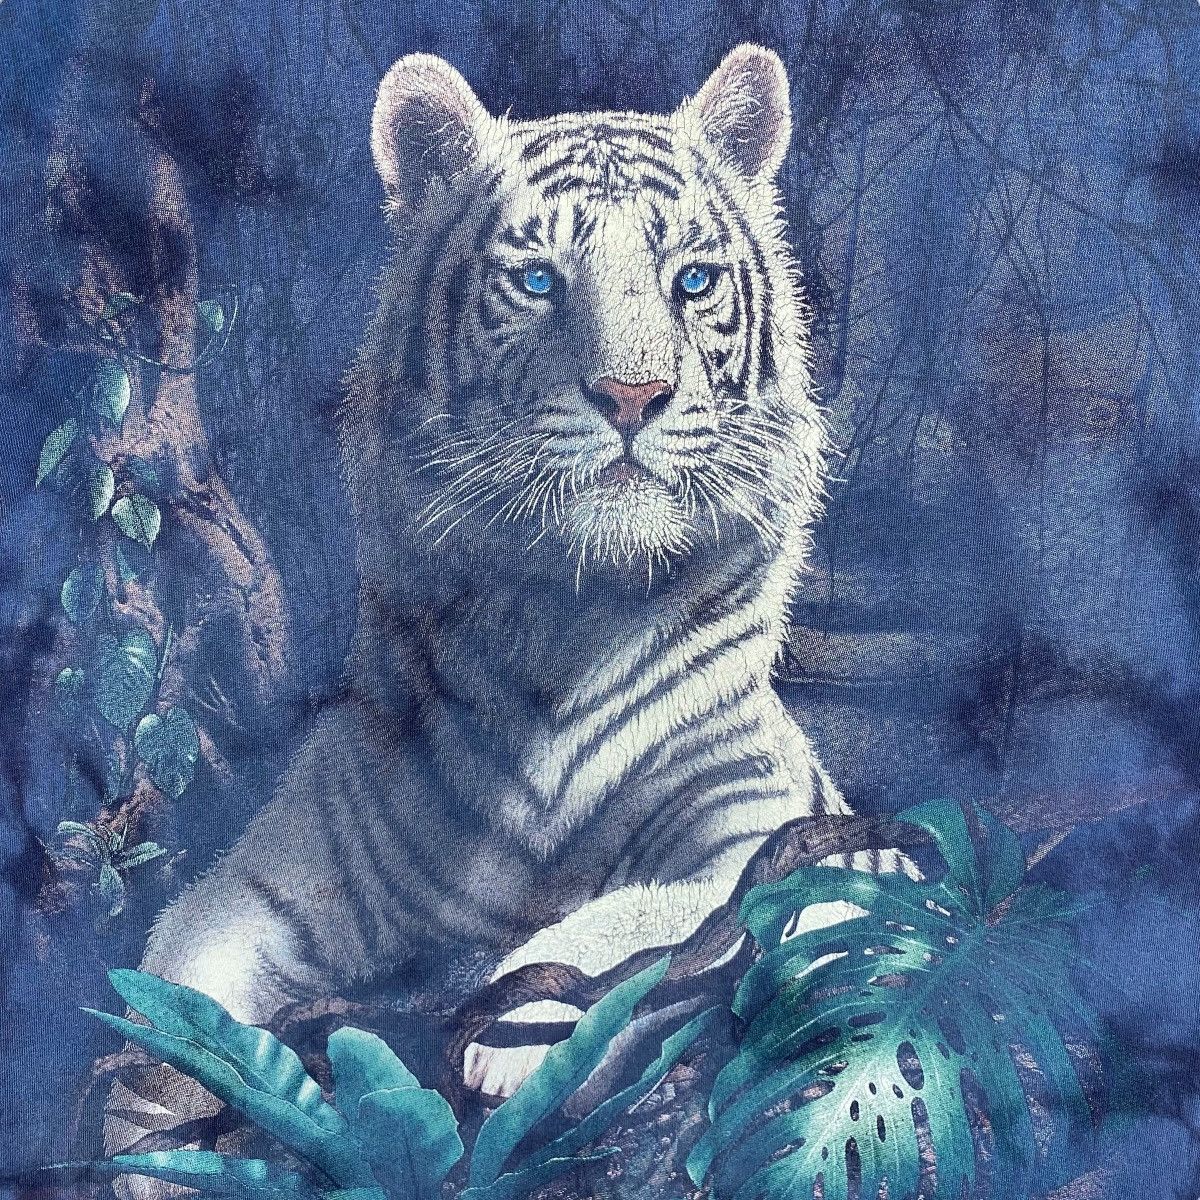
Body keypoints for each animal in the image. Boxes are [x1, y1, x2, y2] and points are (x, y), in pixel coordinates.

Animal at [103, 43, 907, 1180]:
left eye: (691, 281)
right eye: (538, 281)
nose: (632, 395)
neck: (562, 625)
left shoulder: (767, 830)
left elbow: (648, 911)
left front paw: (514, 1031)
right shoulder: (287, 869)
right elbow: (171, 987)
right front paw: (153, 1121)